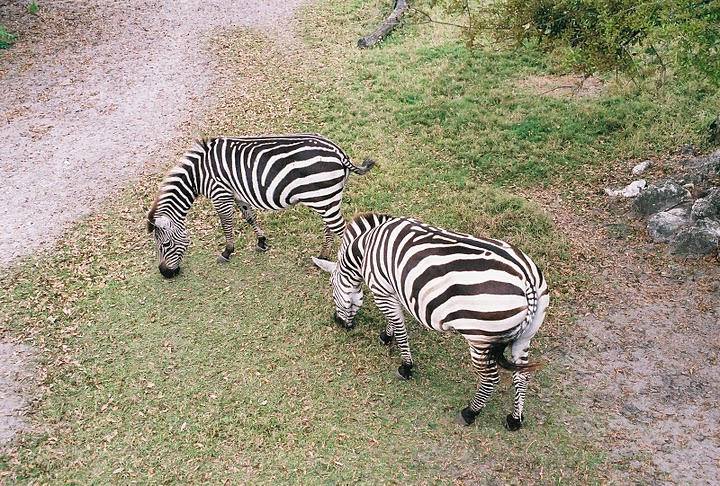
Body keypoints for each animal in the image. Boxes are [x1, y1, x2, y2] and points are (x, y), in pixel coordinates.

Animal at [146, 134, 374, 278]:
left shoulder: (220, 194)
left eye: (164, 245)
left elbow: (226, 223)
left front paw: (227, 252)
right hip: (328, 198)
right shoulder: (237, 194)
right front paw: (261, 241)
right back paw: (323, 255)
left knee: (341, 229)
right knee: (330, 227)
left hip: (323, 197)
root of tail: (340, 153)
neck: (198, 174)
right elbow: (249, 217)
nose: (165, 274)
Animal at [312, 213, 549, 430]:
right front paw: (386, 336)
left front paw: (406, 367)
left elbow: (400, 328)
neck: (364, 249)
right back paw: (514, 419)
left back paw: (469, 413)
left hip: (480, 338)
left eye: (332, 288)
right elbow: (394, 322)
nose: (338, 323)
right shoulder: (395, 289)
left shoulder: (382, 290)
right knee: (522, 375)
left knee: (490, 379)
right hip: (526, 335)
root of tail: (527, 280)